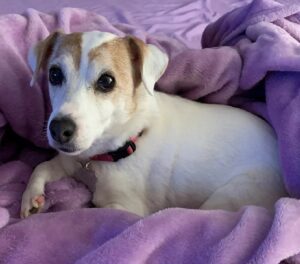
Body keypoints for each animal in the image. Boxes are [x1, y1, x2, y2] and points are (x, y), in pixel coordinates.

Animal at [19, 29, 288, 218]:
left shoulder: (126, 209)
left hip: (231, 195)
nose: (59, 129)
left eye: (107, 81)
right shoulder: (70, 161)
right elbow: (41, 167)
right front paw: (31, 196)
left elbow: (87, 211)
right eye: (54, 74)